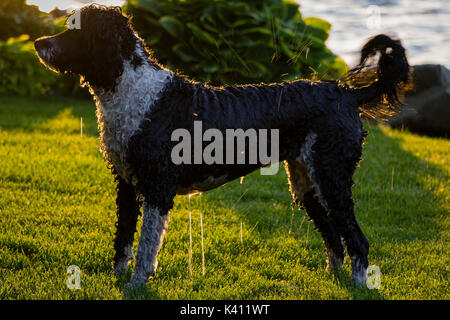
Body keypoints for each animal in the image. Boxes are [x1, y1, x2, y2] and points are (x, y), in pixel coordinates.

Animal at [34, 5, 408, 288]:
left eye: (74, 31)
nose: (37, 43)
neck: (132, 87)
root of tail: (347, 93)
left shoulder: (157, 188)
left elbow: (146, 247)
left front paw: (136, 284)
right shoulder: (126, 184)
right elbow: (123, 241)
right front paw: (117, 278)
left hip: (332, 176)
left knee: (357, 240)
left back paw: (358, 285)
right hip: (306, 183)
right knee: (334, 238)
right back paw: (334, 278)